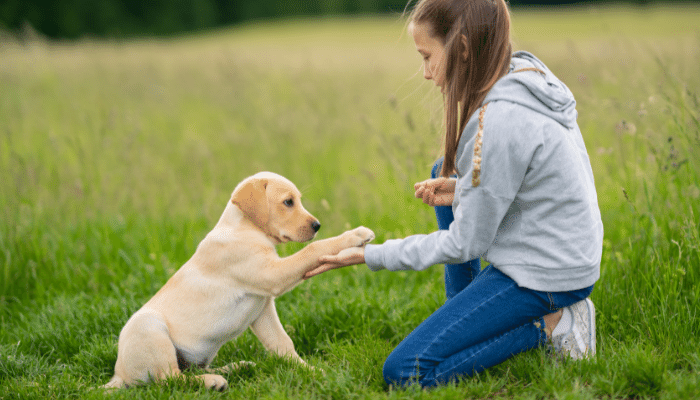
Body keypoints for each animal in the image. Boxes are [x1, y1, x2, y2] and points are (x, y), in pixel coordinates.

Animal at [103, 172, 374, 390]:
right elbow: (313, 249)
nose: (317, 225)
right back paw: (213, 382)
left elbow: (283, 344)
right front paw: (354, 236)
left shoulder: (263, 309)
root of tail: (118, 376)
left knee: (187, 371)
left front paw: (311, 372)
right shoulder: (272, 274)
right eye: (288, 202)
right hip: (148, 326)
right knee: (169, 379)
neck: (246, 229)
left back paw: (237, 367)